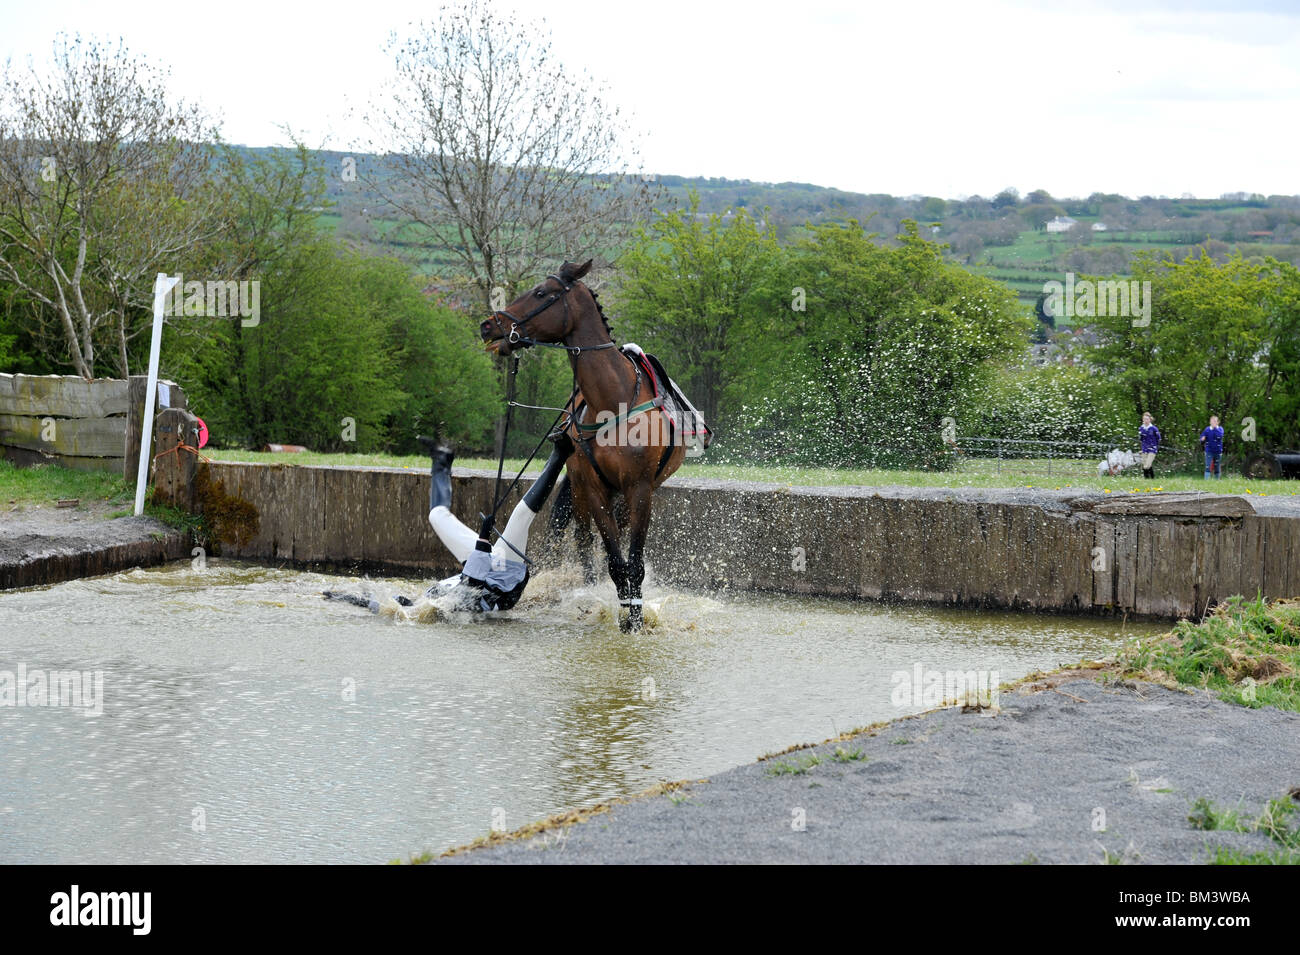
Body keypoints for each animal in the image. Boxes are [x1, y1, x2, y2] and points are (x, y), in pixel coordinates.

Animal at [480, 263, 686, 634]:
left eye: (541, 292)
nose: (488, 324)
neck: (613, 400)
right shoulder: (592, 487)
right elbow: (614, 561)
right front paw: (623, 615)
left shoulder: (640, 488)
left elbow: (633, 563)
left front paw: (634, 621)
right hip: (580, 487)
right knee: (585, 541)